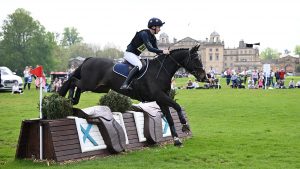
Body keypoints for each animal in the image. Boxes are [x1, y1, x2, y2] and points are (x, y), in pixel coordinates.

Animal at [59, 44, 207, 145]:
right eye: (196, 59)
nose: (204, 77)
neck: (160, 71)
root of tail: (89, 59)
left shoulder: (161, 99)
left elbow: (170, 117)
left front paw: (176, 139)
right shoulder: (160, 96)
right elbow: (177, 106)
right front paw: (184, 125)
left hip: (99, 88)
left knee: (76, 84)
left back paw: (73, 100)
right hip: (89, 84)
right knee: (73, 81)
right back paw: (70, 99)